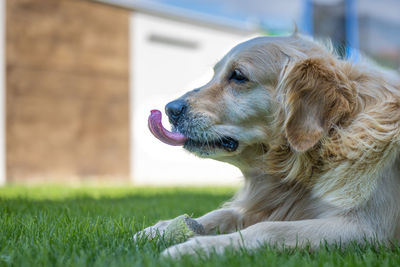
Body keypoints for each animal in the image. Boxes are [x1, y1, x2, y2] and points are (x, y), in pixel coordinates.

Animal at [138, 33, 400, 258]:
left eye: (238, 75)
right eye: (214, 74)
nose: (170, 109)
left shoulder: (366, 229)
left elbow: (268, 229)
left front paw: (197, 247)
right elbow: (224, 213)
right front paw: (161, 229)